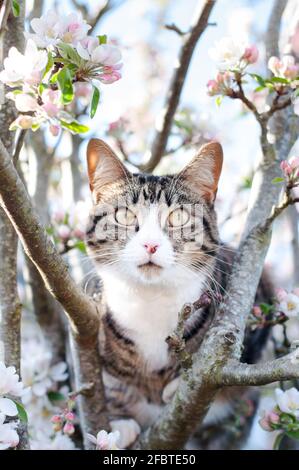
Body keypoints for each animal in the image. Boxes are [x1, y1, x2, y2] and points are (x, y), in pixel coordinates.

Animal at [84, 138, 272, 450]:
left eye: (179, 216)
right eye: (124, 215)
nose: (150, 244)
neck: (150, 300)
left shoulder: (259, 296)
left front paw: (176, 384)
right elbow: (111, 380)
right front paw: (119, 422)